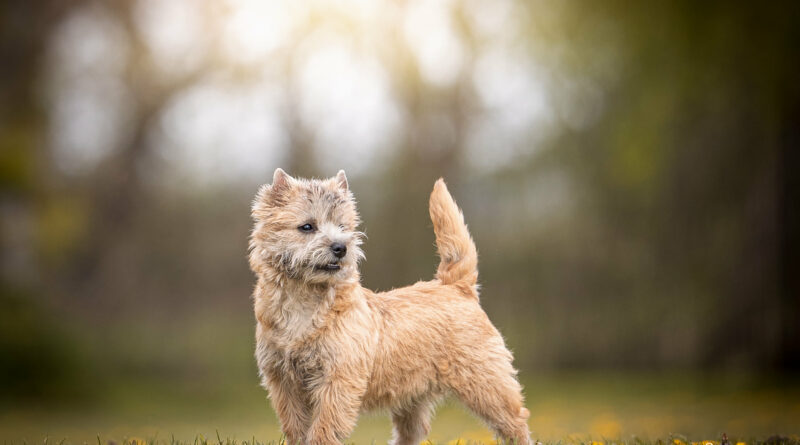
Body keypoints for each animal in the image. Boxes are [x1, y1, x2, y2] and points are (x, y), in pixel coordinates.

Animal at [250, 168, 532, 442]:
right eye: (307, 226)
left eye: (343, 226)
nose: (341, 247)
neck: (304, 301)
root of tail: (455, 286)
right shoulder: (283, 382)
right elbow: (295, 427)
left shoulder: (337, 381)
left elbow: (324, 429)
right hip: (412, 399)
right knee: (412, 432)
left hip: (486, 383)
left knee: (515, 420)